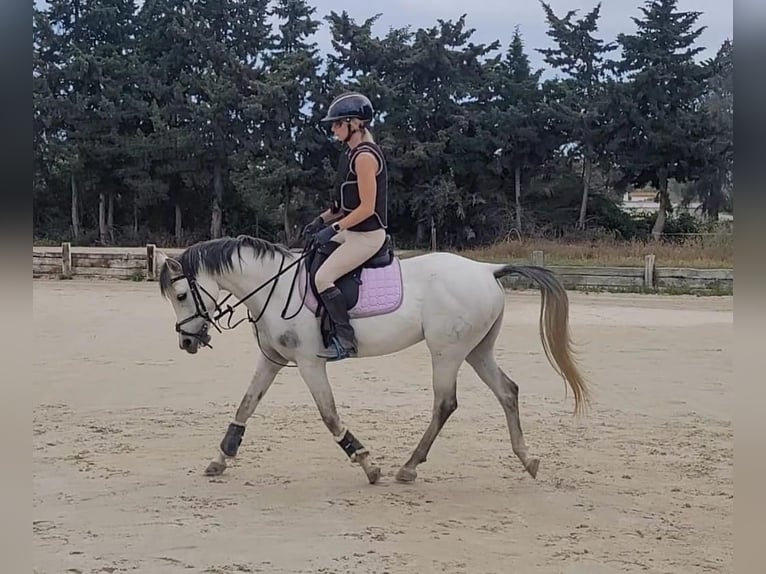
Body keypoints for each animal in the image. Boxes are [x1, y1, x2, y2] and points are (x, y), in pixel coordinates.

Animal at [155, 234, 590, 485]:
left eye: (181, 295)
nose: (187, 342)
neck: (273, 288)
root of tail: (487, 270)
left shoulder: (310, 363)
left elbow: (330, 416)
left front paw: (367, 463)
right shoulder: (274, 359)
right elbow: (245, 405)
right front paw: (220, 458)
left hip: (446, 352)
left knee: (445, 403)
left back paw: (408, 467)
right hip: (476, 351)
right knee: (507, 391)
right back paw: (527, 459)